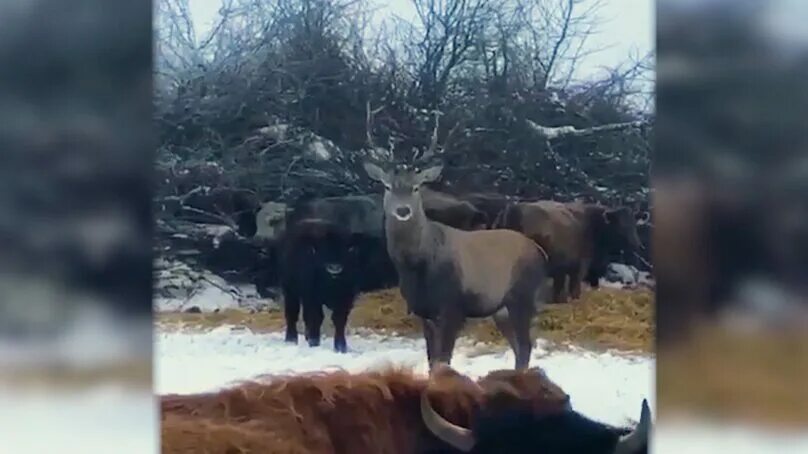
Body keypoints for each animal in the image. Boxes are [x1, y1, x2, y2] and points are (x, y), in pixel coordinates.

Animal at [280, 218, 362, 352]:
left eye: (345, 250)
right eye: (323, 250)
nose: (334, 268)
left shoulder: (346, 298)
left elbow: (339, 319)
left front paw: (341, 346)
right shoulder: (312, 297)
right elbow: (316, 317)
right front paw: (314, 342)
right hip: (290, 291)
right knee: (292, 313)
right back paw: (291, 339)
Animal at [364, 105, 548, 368]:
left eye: (417, 187)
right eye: (387, 186)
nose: (403, 210)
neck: (418, 264)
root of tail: (540, 252)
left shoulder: (452, 307)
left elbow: (443, 362)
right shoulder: (424, 313)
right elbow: (432, 362)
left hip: (522, 297)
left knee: (525, 347)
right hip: (500, 309)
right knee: (519, 349)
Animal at [496, 201, 640, 306]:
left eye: (633, 223)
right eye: (621, 224)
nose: (636, 243)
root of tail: (514, 210)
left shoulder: (561, 270)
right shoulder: (579, 266)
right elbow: (574, 286)